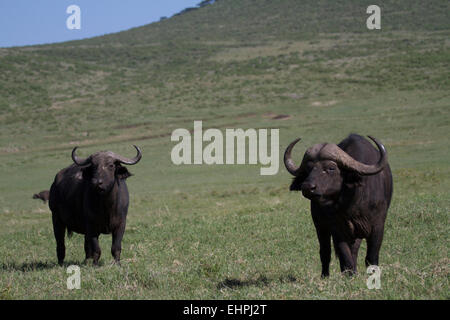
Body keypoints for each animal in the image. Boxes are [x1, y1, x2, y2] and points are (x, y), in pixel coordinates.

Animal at [284, 134, 394, 276]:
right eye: (308, 169)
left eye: (331, 168)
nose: (307, 187)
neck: (352, 203)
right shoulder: (337, 229)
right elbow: (345, 257)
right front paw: (349, 275)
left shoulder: (378, 227)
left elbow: (371, 257)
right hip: (320, 225)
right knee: (325, 252)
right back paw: (325, 275)